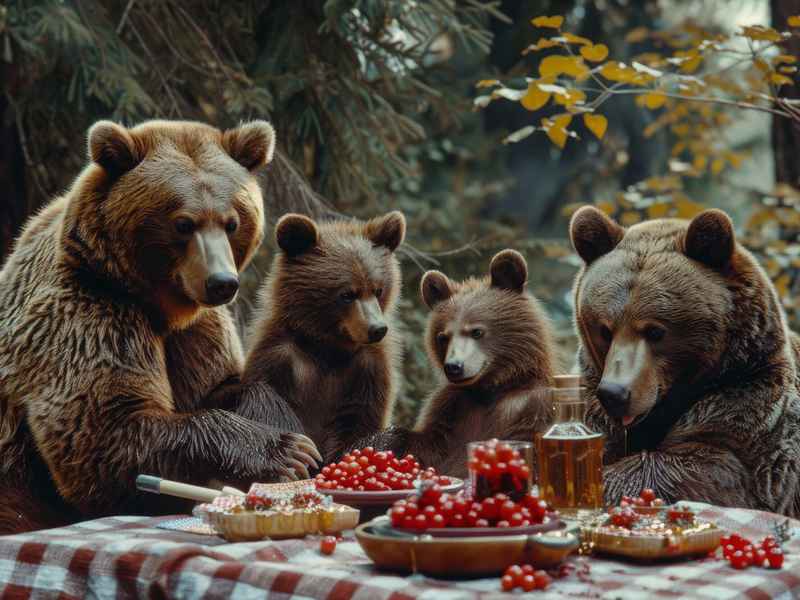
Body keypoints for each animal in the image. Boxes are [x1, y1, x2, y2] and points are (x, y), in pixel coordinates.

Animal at [0, 119, 320, 535]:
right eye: (183, 223)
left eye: (232, 221)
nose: (222, 282)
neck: (161, 307)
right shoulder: (91, 314)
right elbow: (106, 428)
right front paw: (287, 452)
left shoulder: (196, 331)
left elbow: (223, 385)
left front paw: (295, 436)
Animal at [234, 211, 406, 464]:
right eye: (347, 294)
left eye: (378, 290)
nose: (377, 329)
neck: (326, 348)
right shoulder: (279, 359)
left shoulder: (368, 369)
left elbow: (359, 421)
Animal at [361, 249, 558, 478]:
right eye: (443, 337)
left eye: (476, 331)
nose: (453, 367)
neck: (489, 390)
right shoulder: (452, 411)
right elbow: (422, 445)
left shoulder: (531, 407)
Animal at [569, 205, 800, 517]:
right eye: (605, 330)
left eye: (655, 331)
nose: (615, 393)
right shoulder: (591, 398)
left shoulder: (747, 413)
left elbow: (701, 468)